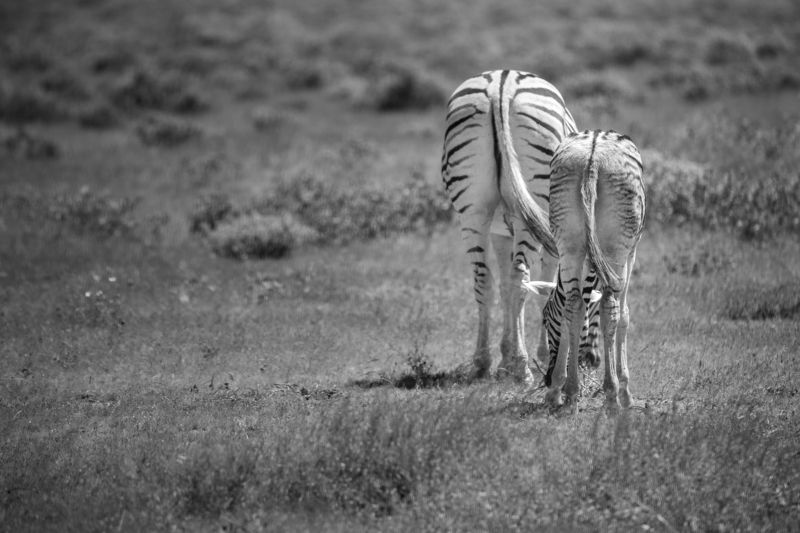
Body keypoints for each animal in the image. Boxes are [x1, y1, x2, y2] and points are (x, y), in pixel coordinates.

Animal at [441, 69, 600, 384]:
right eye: (594, 307)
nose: (592, 361)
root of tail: (500, 85)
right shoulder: (552, 231)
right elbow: (544, 286)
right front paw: (540, 354)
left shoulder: (501, 232)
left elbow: (505, 288)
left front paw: (505, 356)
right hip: (533, 198)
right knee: (518, 278)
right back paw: (522, 367)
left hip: (472, 209)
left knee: (485, 279)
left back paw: (482, 363)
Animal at [525, 130, 645, 410]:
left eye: (545, 318)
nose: (546, 379)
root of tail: (593, 157)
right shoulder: (632, 253)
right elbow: (624, 315)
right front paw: (626, 391)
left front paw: (561, 388)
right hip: (617, 246)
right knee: (611, 307)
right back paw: (612, 394)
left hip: (567, 239)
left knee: (573, 305)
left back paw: (565, 392)